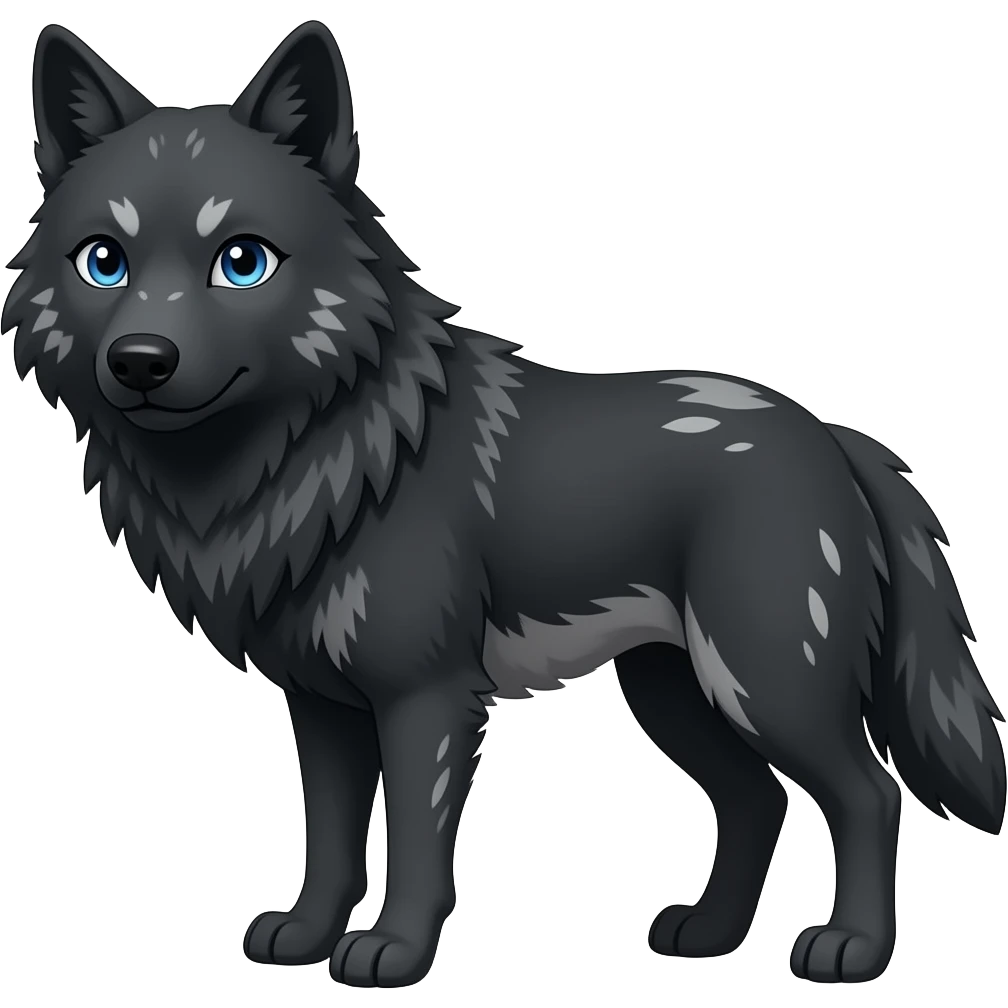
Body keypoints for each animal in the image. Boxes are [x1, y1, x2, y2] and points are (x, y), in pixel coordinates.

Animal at [4, 19, 1004, 990]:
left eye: (241, 262)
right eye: (104, 262)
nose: (139, 361)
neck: (319, 455)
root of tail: (834, 434)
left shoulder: (426, 698)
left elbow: (414, 844)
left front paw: (392, 954)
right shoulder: (321, 705)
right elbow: (330, 838)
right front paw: (307, 935)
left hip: (764, 682)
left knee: (868, 795)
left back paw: (851, 950)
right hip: (675, 690)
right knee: (756, 799)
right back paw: (709, 935)